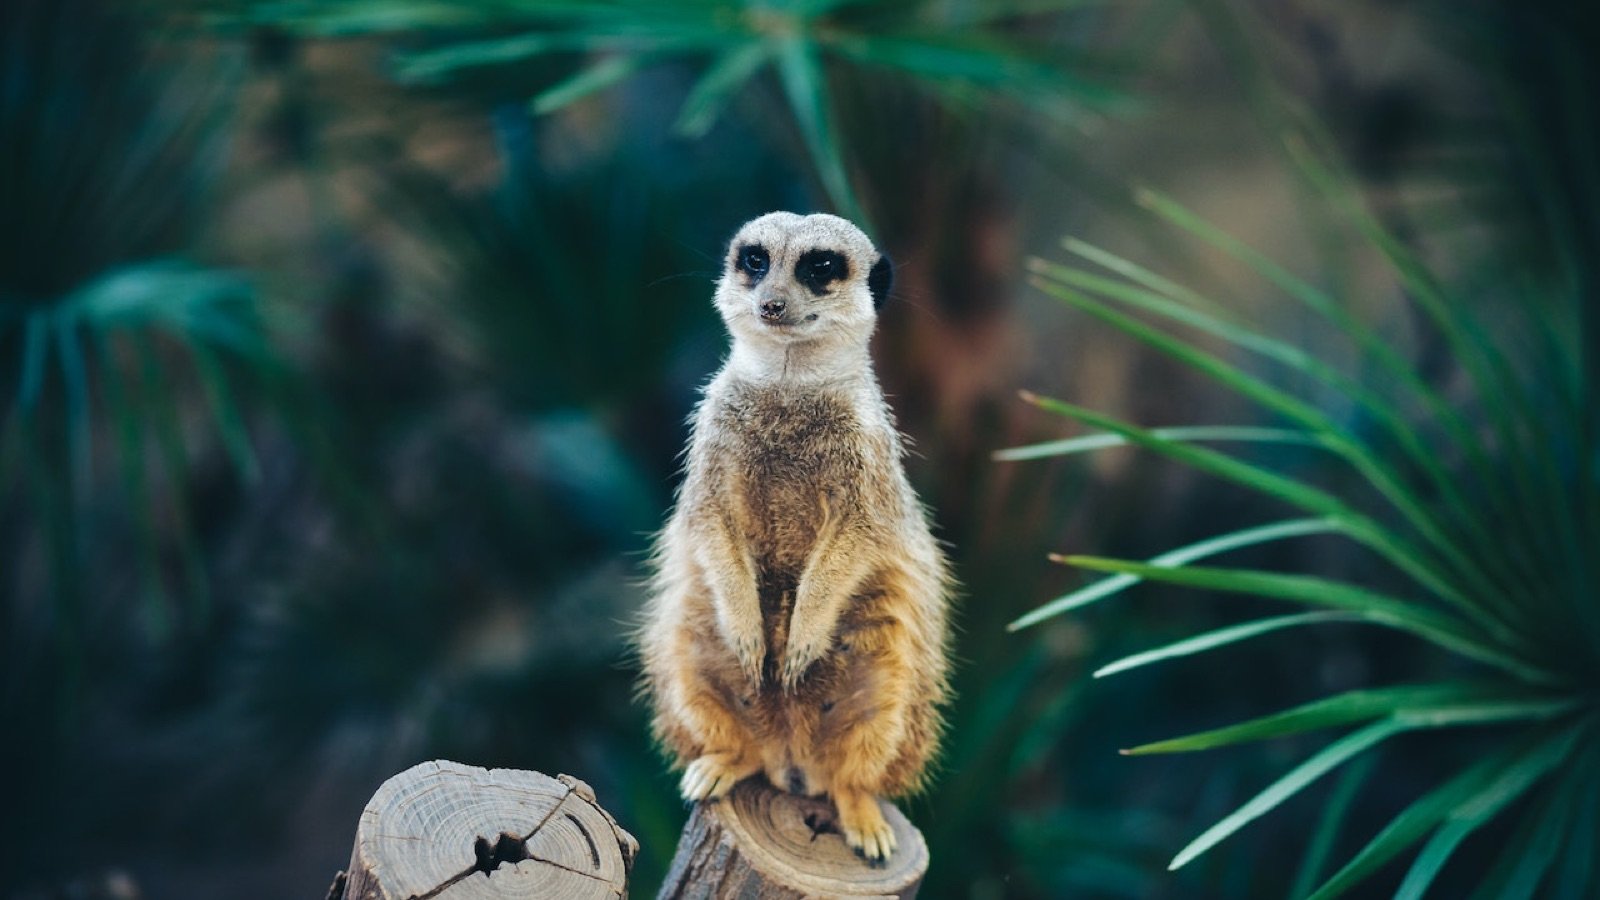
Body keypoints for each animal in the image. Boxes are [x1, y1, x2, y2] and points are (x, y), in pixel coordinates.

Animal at [638, 212, 952, 866]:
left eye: (820, 266)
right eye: (755, 260)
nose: (772, 303)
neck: (787, 387)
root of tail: (790, 762)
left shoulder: (867, 463)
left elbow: (860, 536)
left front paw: (803, 635)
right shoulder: (711, 441)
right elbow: (708, 519)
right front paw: (748, 630)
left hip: (890, 682)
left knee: (865, 752)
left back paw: (862, 813)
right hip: (688, 648)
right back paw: (721, 761)